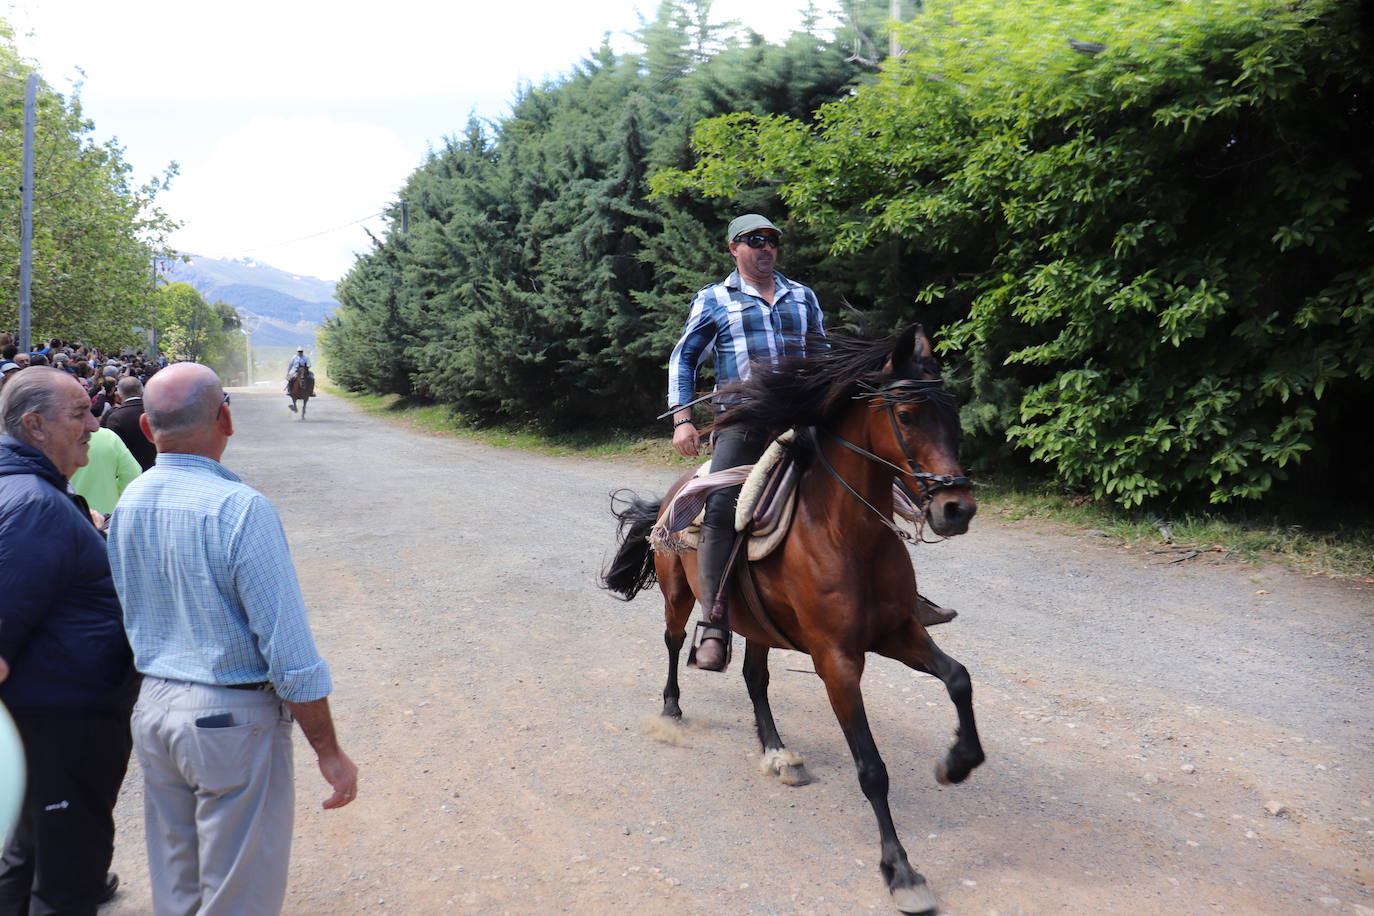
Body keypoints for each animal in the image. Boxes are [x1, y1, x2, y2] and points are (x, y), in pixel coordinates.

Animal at [601, 325, 978, 911]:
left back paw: (777, 752)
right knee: (672, 643)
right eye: (907, 415)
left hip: (758, 624)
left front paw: (957, 762)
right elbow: (872, 769)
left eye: (951, 412)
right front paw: (900, 870)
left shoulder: (898, 633)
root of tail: (675, 491)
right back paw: (672, 709)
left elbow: (959, 678)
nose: (956, 508)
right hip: (678, 596)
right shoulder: (837, 660)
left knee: (755, 677)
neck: (846, 534)